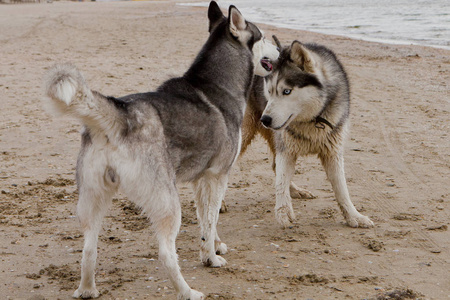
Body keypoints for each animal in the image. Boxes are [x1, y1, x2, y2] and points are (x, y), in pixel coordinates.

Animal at [45, 1, 278, 298]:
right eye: (264, 37)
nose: (281, 51)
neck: (219, 84)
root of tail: (122, 115)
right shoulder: (218, 176)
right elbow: (212, 218)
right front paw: (211, 258)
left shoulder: (202, 180)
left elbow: (207, 221)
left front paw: (214, 245)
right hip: (167, 202)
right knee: (166, 253)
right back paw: (187, 291)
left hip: (94, 198)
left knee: (88, 249)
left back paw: (87, 289)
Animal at [241, 38, 374, 229]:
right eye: (269, 91)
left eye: (286, 91)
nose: (264, 119)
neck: (312, 120)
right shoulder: (286, 151)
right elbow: (281, 181)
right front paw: (283, 211)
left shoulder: (332, 152)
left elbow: (342, 190)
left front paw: (354, 216)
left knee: (274, 165)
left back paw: (295, 190)